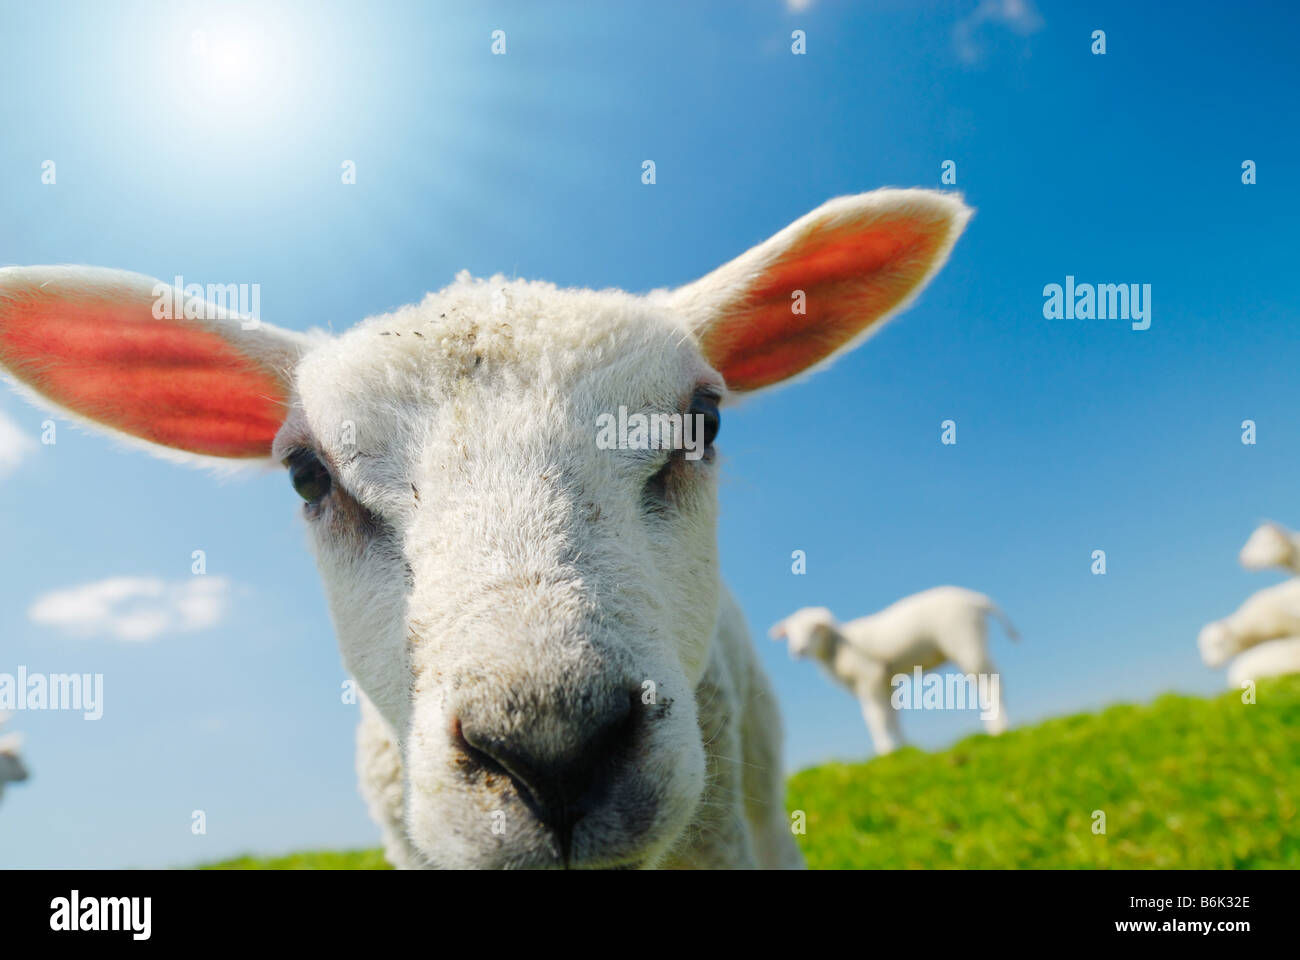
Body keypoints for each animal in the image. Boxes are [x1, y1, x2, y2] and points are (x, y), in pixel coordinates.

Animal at [769, 582, 1013, 754]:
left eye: (815, 628)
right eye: (790, 632)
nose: (798, 650)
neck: (837, 646)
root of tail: (975, 598)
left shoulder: (869, 677)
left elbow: (875, 717)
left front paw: (884, 751)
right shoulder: (885, 680)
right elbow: (892, 716)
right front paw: (903, 748)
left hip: (965, 641)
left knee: (991, 681)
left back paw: (999, 728)